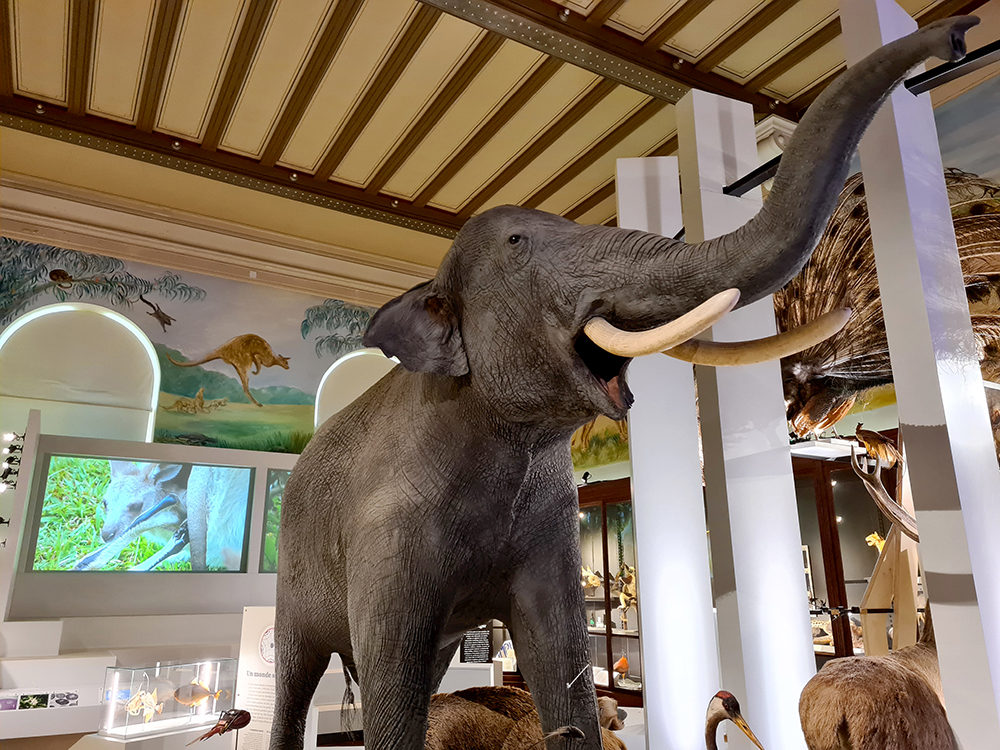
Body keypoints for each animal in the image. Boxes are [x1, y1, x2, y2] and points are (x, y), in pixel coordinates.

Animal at [270, 16, 977, 750]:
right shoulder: (388, 529)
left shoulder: (549, 530)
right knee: (297, 674)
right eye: (519, 243)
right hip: (293, 568)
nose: (956, 33)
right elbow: (394, 682)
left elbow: (560, 655)